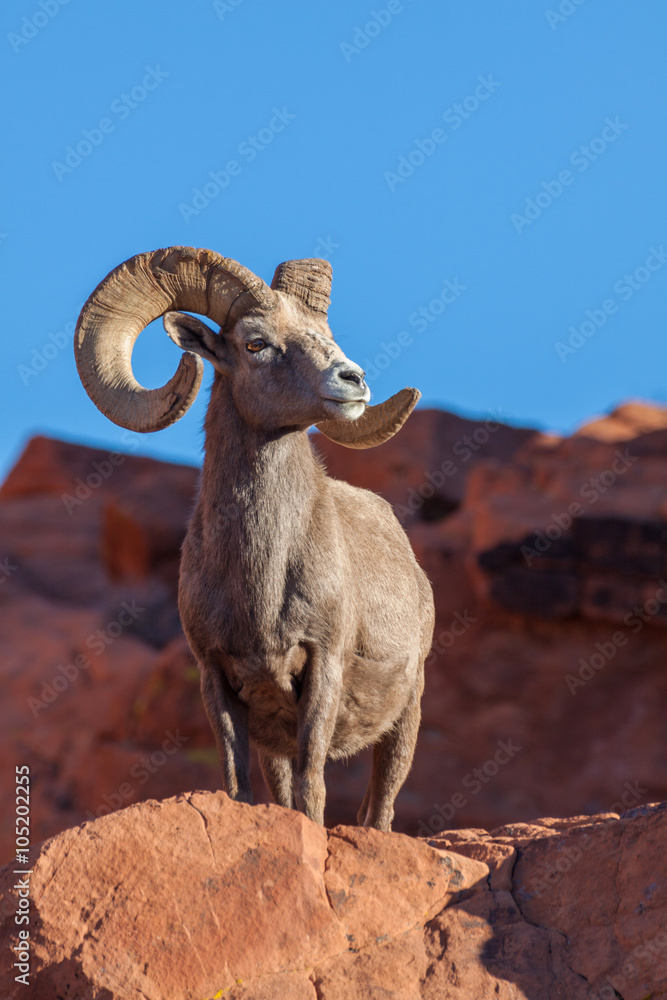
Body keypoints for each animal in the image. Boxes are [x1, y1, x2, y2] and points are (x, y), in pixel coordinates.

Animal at [74, 246, 435, 831]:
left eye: (323, 333)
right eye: (256, 343)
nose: (353, 380)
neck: (261, 581)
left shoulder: (322, 668)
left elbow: (313, 788)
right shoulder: (220, 681)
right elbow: (239, 787)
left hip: (406, 717)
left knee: (380, 810)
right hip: (280, 742)